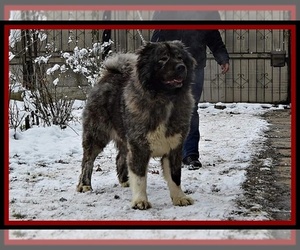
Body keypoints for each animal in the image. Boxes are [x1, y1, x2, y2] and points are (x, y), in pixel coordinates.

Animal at [76, 40, 196, 209]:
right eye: (163, 59)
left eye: (180, 57)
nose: (181, 67)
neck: (165, 100)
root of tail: (109, 75)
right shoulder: (139, 147)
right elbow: (140, 178)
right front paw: (140, 201)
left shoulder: (174, 148)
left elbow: (175, 176)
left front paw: (180, 198)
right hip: (97, 135)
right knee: (87, 161)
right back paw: (85, 185)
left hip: (124, 139)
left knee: (120, 158)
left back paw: (125, 181)